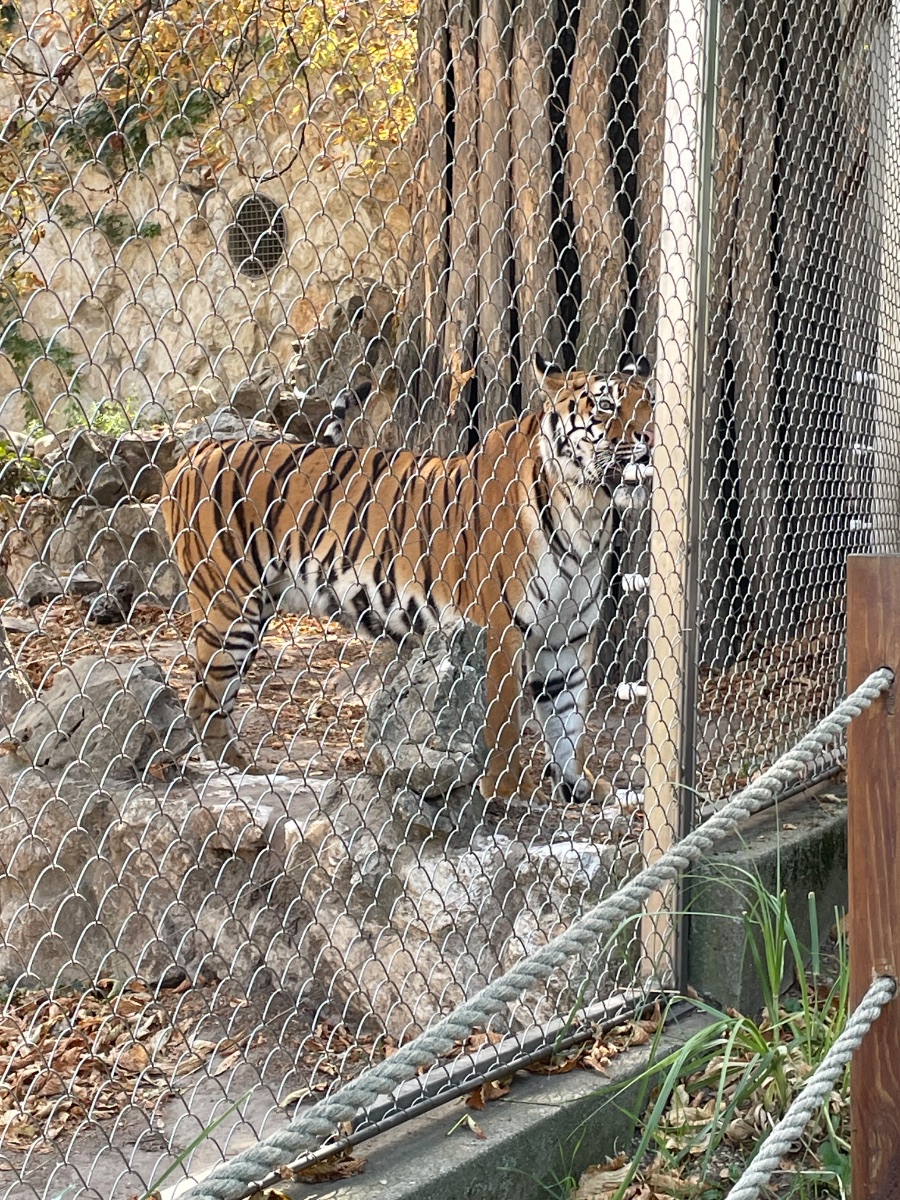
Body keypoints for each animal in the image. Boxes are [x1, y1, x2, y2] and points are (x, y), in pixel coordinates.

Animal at [161, 353, 653, 803]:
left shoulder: (567, 633)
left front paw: (578, 783)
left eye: (649, 402)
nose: (650, 439)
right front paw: (507, 789)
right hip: (228, 606)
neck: (588, 511)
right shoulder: (500, 626)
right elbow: (504, 719)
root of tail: (194, 452)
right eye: (606, 404)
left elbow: (567, 717)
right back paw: (239, 773)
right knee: (203, 700)